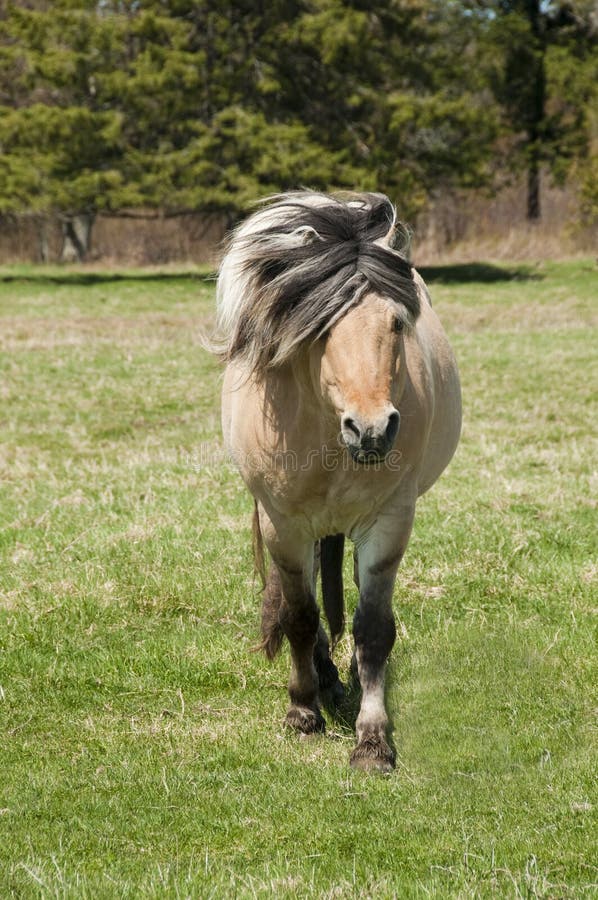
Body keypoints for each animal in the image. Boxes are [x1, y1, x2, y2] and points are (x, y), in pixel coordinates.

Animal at [216, 192, 464, 772]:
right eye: (320, 327)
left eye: (396, 324)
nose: (371, 428)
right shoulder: (283, 526)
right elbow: (300, 617)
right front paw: (303, 711)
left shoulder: (390, 521)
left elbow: (373, 628)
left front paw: (372, 741)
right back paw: (323, 678)